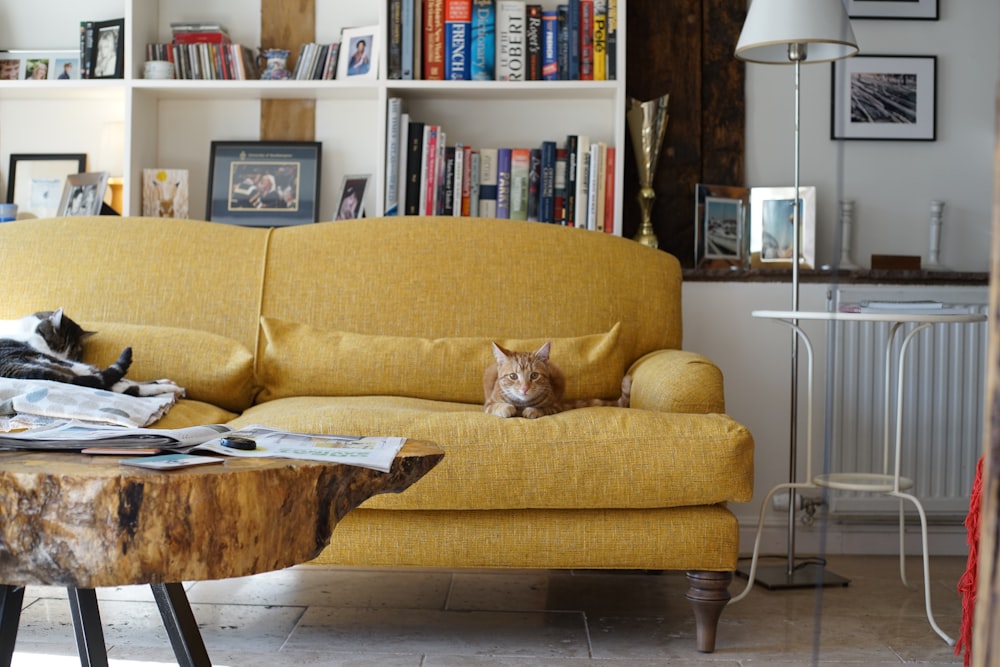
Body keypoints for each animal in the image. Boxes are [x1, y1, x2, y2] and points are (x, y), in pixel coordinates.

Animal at [480, 344, 628, 418]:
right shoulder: (488, 404)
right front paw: (507, 408)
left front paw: (533, 410)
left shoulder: (555, 405)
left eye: (534, 375)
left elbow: (544, 408)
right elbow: (499, 406)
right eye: (513, 376)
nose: (525, 388)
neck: (522, 404)